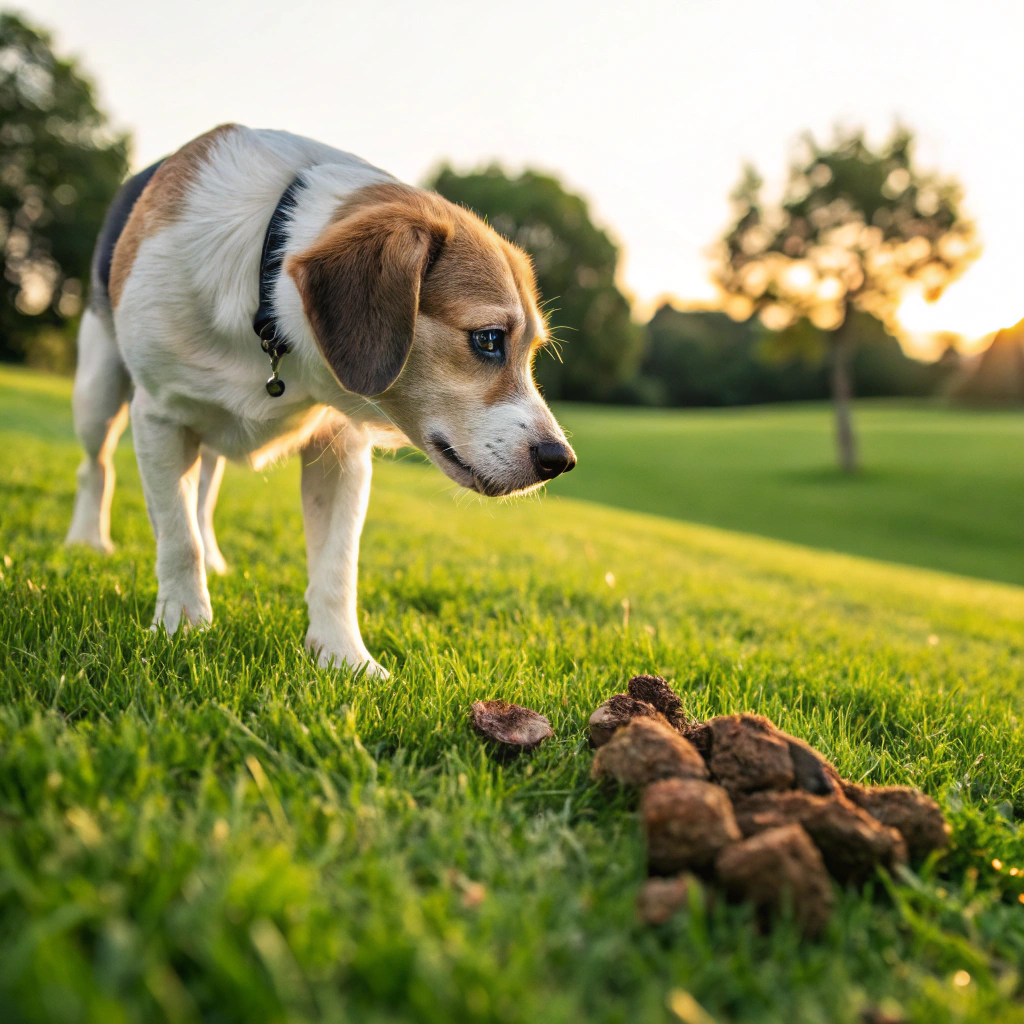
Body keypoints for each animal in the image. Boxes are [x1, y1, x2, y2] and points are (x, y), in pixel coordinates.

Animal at [64, 123, 577, 675]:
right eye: (488, 339)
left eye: (531, 350)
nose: (560, 460)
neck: (266, 277)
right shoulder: (160, 416)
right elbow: (178, 541)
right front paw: (182, 625)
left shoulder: (341, 449)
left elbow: (336, 568)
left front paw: (344, 658)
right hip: (98, 393)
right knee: (97, 469)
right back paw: (87, 542)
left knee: (203, 493)